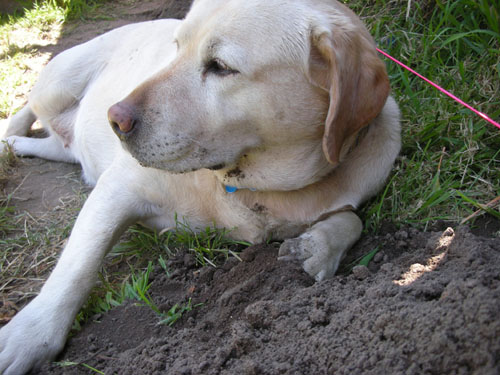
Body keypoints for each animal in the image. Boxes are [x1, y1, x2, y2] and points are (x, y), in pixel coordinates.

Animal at [0, 0, 398, 374]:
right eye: (176, 48)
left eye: (220, 66)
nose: (115, 118)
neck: (244, 186)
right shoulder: (119, 188)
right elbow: (76, 269)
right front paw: (29, 335)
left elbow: (352, 220)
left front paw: (315, 249)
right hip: (57, 83)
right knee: (27, 107)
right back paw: (8, 138)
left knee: (57, 144)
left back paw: (17, 146)